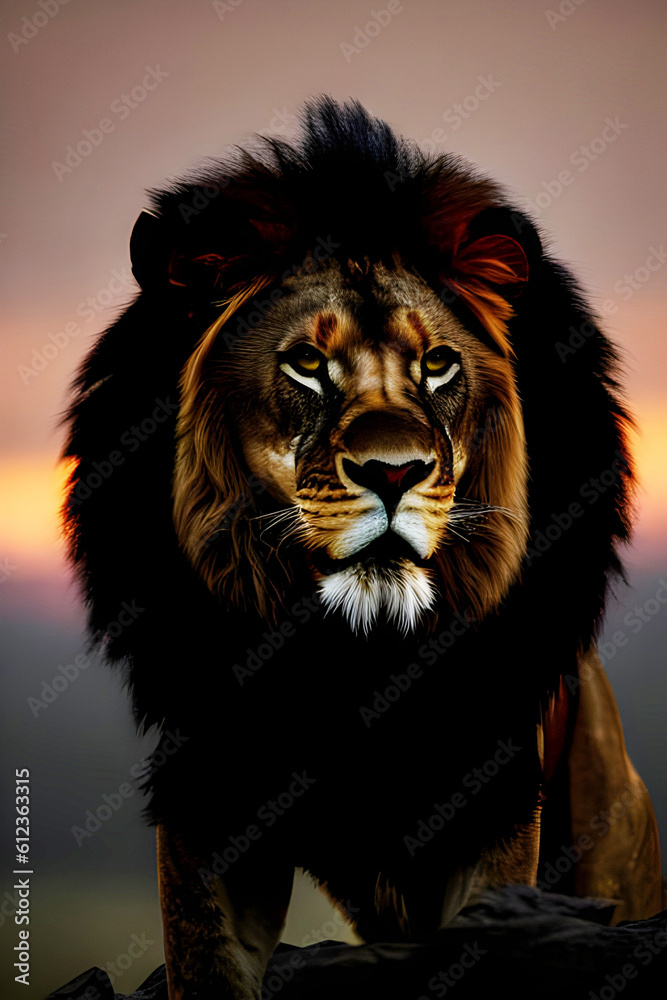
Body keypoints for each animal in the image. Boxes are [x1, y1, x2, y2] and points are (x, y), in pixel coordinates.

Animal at [62, 97, 662, 999]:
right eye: (307, 363)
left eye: (438, 364)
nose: (394, 472)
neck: (358, 654)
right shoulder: (211, 791)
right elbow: (205, 964)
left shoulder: (491, 801)